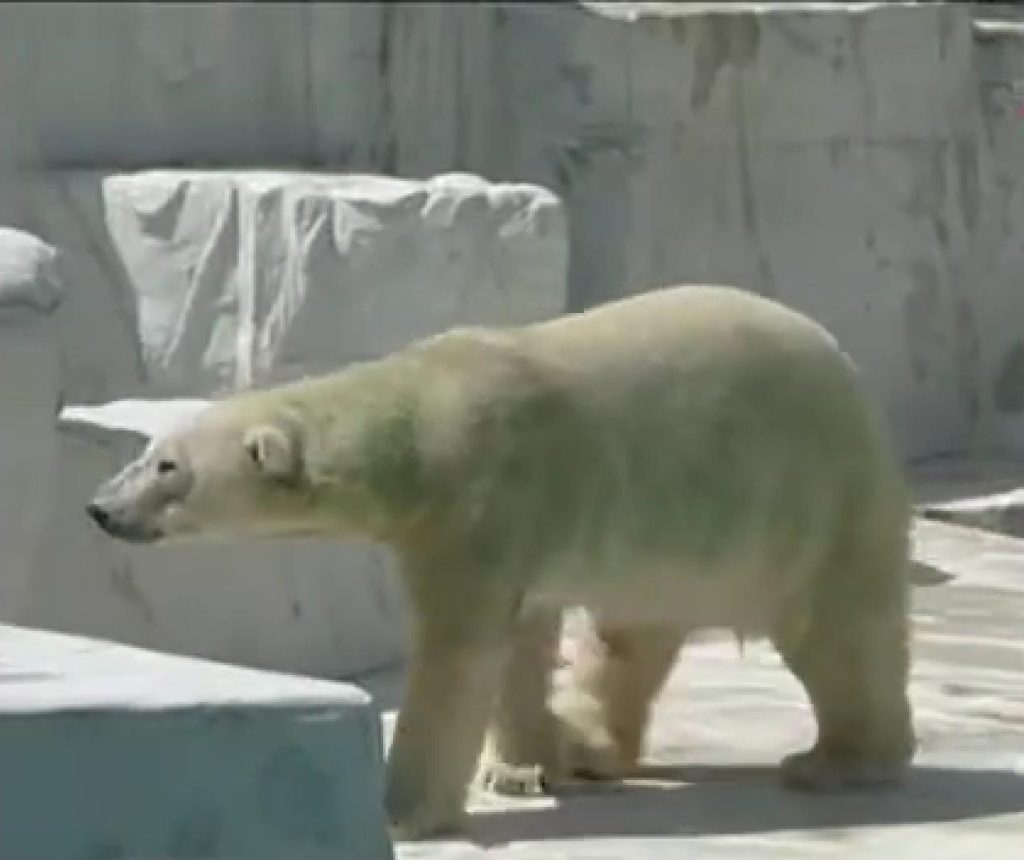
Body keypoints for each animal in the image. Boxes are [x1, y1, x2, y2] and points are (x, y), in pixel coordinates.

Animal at [86, 285, 915, 840]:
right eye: (147, 453)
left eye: (166, 467)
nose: (99, 508)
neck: (422, 413)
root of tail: (851, 373)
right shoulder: (518, 522)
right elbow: (525, 635)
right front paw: (518, 770)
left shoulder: (479, 498)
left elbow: (458, 652)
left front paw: (401, 812)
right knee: (629, 635)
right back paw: (588, 748)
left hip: (815, 499)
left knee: (837, 636)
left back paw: (841, 762)